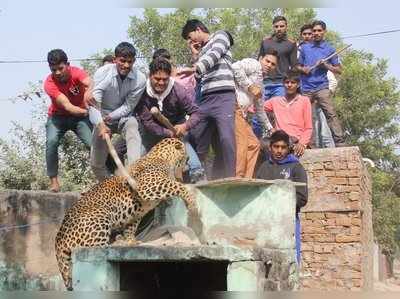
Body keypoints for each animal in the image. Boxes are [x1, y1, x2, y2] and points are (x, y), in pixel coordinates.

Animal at [54, 139, 198, 292]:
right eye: (185, 154)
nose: (189, 160)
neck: (164, 158)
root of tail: (58, 239)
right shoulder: (148, 185)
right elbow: (177, 185)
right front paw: (191, 201)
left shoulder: (136, 214)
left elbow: (131, 227)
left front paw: (131, 241)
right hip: (100, 216)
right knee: (96, 248)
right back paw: (117, 242)